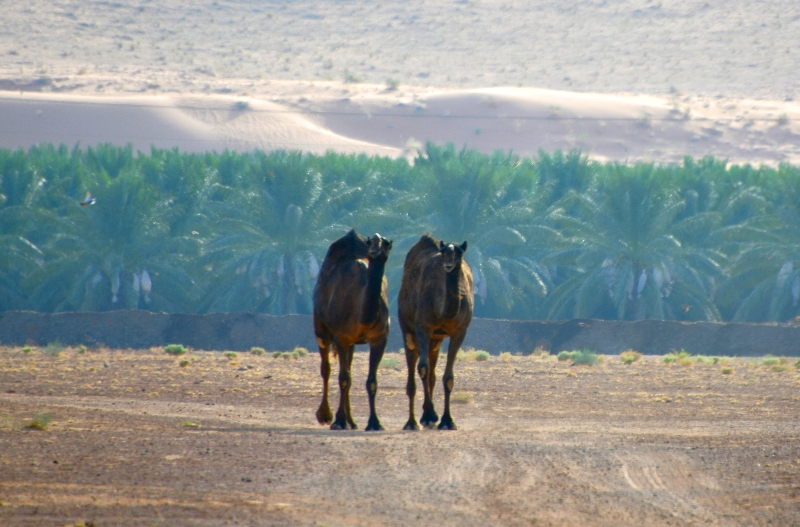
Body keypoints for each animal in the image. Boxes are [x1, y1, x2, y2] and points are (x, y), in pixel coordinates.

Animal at [310, 229, 392, 432]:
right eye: (371, 242)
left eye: (387, 244)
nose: (375, 251)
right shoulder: (341, 338)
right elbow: (343, 378)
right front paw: (338, 421)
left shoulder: (380, 338)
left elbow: (371, 381)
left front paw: (374, 423)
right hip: (321, 327)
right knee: (326, 368)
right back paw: (326, 416)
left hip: (352, 343)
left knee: (349, 368)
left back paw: (352, 421)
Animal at [396, 236, 472, 434]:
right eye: (444, 252)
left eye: (459, 253)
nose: (448, 264)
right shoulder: (423, 326)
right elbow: (422, 368)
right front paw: (431, 415)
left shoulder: (459, 331)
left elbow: (448, 377)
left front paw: (447, 421)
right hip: (408, 330)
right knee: (414, 369)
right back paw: (412, 422)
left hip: (436, 340)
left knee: (432, 373)